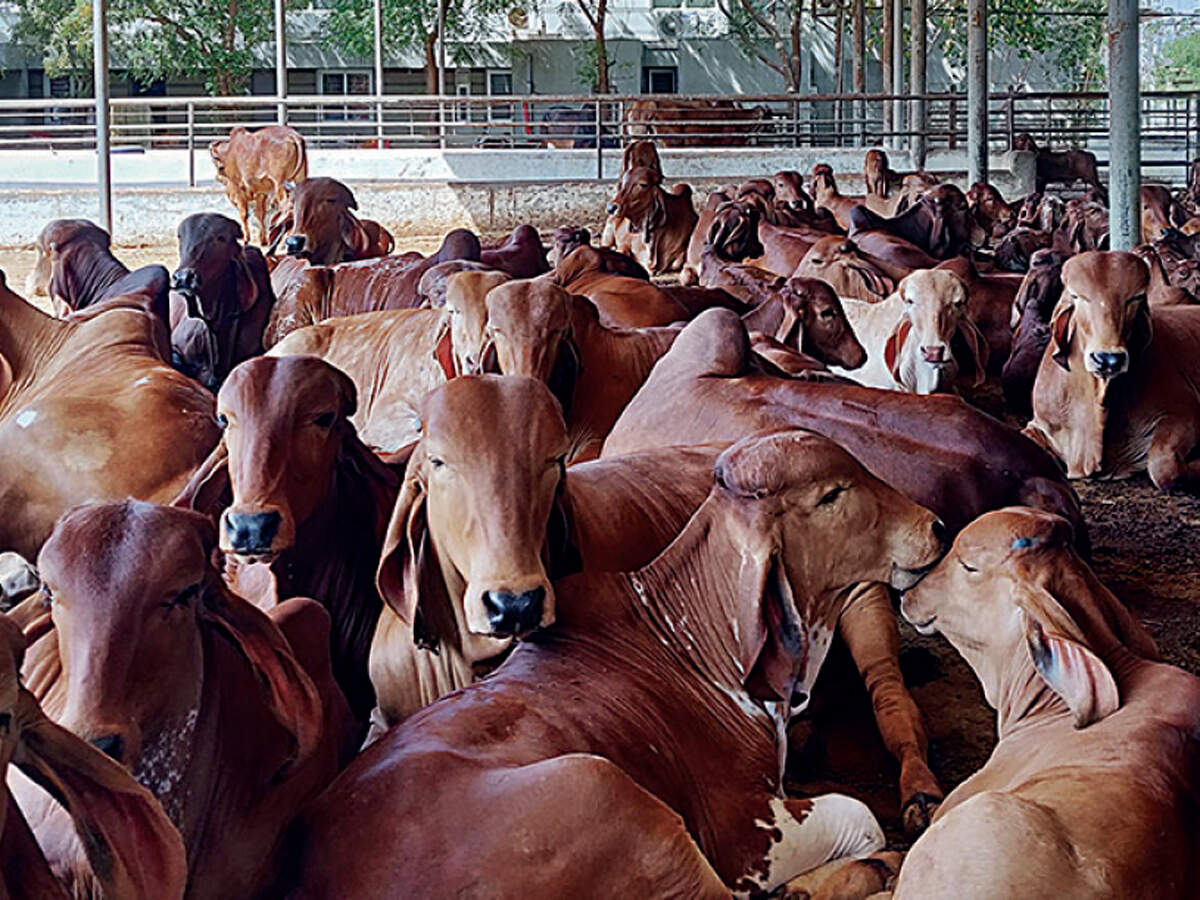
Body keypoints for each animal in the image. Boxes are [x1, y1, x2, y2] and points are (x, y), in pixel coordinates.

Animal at [281, 429, 946, 898]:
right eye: (831, 495)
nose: (938, 526)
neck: (693, 638)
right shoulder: (744, 837)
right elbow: (862, 814)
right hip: (609, 793)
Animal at [1025, 250, 1200, 489]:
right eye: (1077, 296)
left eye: (1136, 297)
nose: (1108, 359)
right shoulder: (1039, 424)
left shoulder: (1186, 411)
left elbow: (1163, 466)